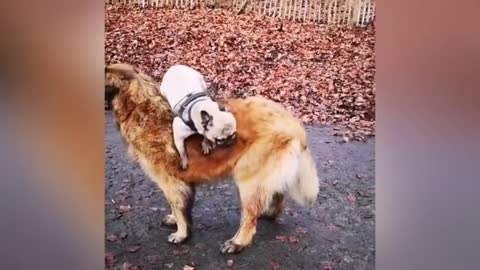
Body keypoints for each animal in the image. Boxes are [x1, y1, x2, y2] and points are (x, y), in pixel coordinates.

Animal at [107, 62, 320, 253]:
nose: (230, 140)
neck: (142, 108)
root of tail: (294, 124)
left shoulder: (173, 183)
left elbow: (180, 209)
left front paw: (181, 234)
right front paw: (174, 220)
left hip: (248, 178)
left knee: (249, 218)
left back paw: (237, 242)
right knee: (277, 193)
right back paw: (269, 212)